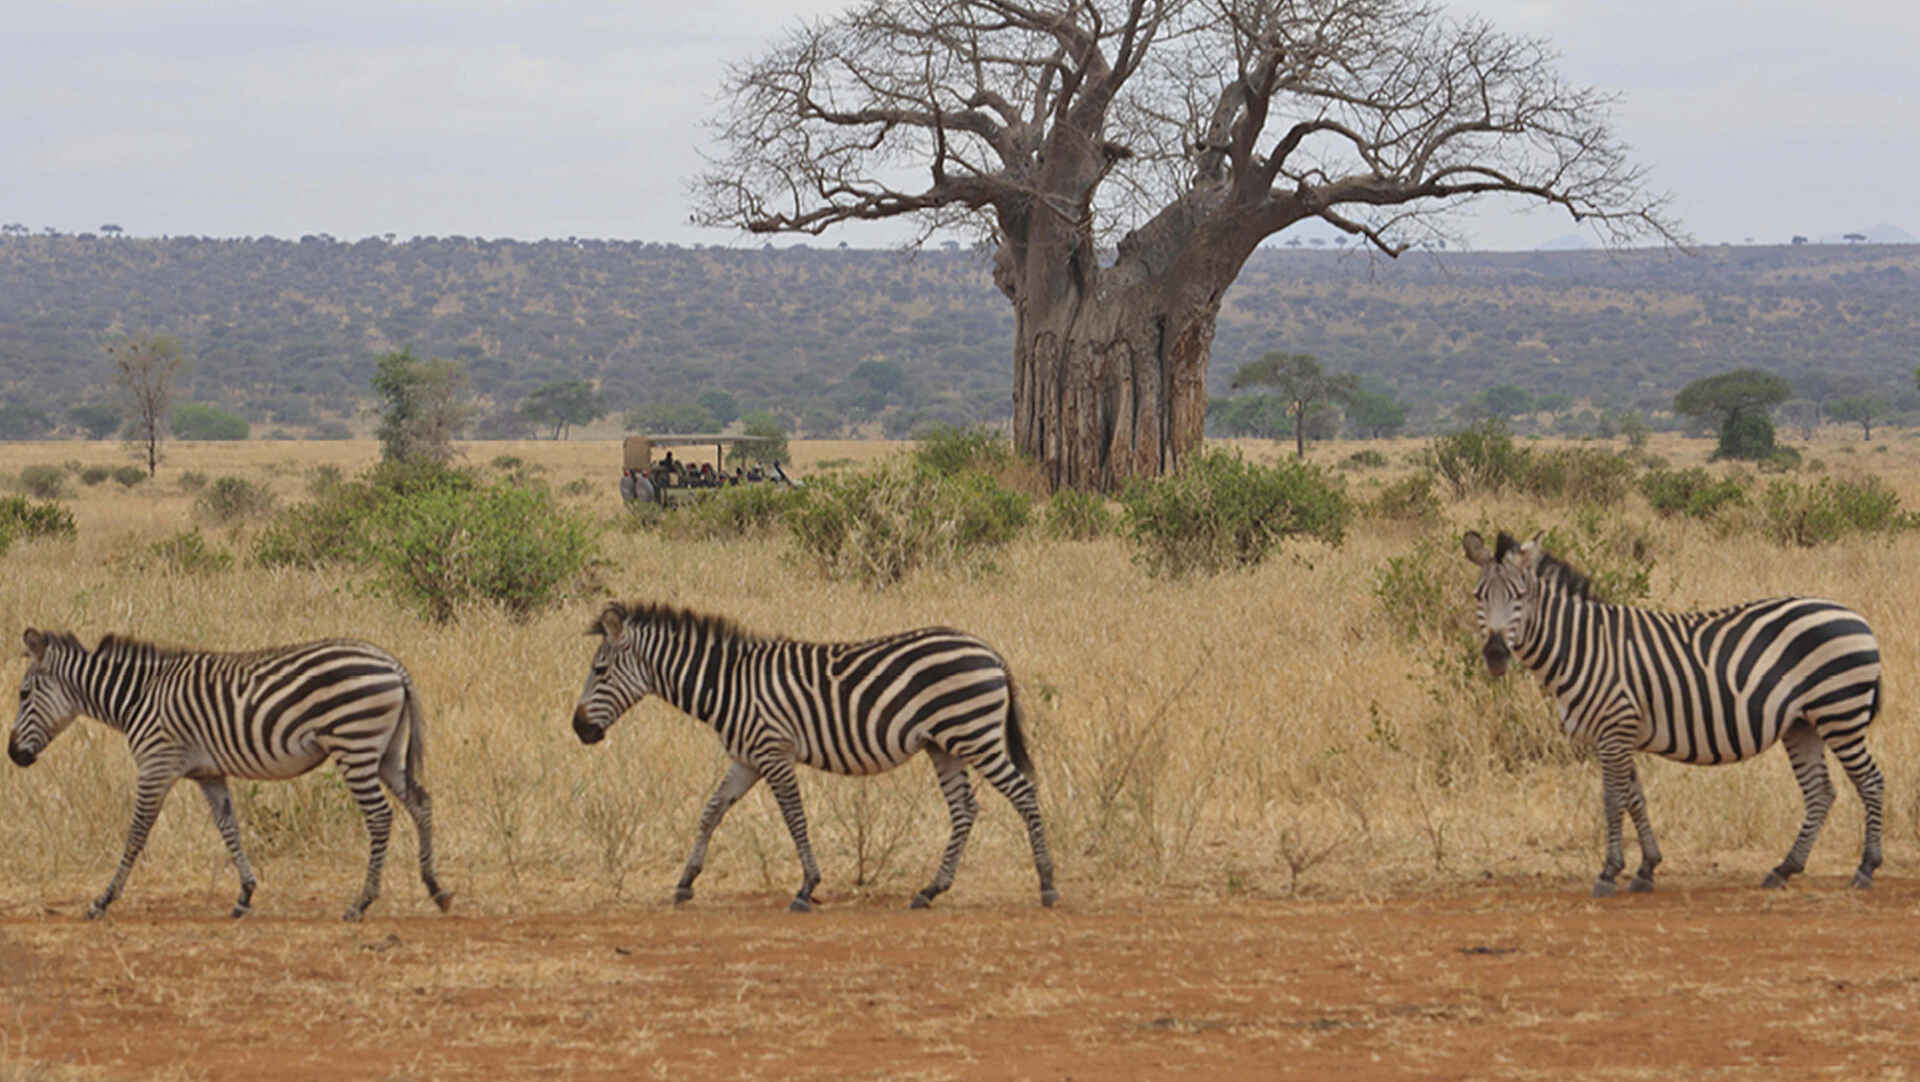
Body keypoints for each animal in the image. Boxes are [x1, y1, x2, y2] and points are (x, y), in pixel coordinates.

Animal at [7, 628, 454, 921]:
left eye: (23, 694)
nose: (13, 755)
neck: (137, 698)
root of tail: (392, 664)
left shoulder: (156, 764)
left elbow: (136, 833)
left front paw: (103, 899)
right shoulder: (209, 774)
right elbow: (229, 828)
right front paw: (245, 894)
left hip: (355, 744)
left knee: (380, 817)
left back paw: (362, 902)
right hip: (386, 752)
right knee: (421, 803)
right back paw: (436, 889)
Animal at [570, 601, 1058, 912]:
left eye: (599, 670)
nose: (579, 729)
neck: (729, 686)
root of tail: (988, 649)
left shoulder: (773, 752)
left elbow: (794, 818)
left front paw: (806, 888)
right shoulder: (746, 758)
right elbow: (711, 811)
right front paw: (686, 882)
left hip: (974, 734)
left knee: (1023, 793)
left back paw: (1048, 885)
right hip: (945, 745)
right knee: (965, 809)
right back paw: (931, 890)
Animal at [1464, 530, 1885, 897]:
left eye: (1520, 595)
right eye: (1479, 596)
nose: (1495, 655)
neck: (1582, 646)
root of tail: (1856, 617)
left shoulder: (1614, 727)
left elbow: (1612, 799)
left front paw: (1608, 872)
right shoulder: (1618, 732)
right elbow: (1634, 797)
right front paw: (1646, 868)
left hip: (1840, 713)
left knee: (1870, 781)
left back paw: (1866, 868)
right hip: (1803, 724)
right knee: (1821, 792)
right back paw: (1784, 868)